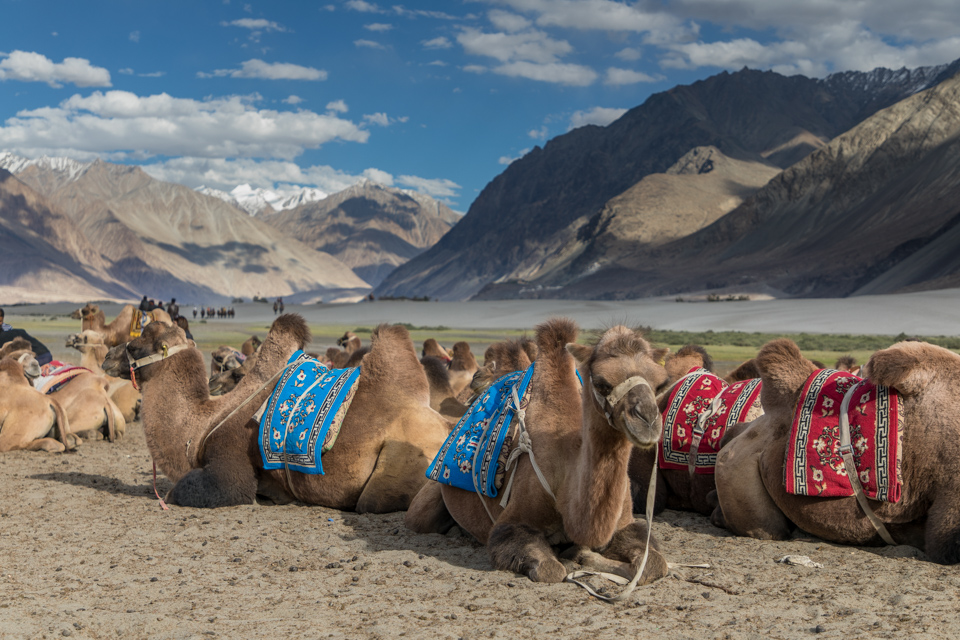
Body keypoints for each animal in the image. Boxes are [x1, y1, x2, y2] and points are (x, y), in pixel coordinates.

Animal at [103, 316, 451, 512]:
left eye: (133, 346)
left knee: (372, 502)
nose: (106, 357)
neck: (201, 424)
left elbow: (185, 490)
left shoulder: (230, 457)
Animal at [405, 320, 670, 585]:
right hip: (425, 504)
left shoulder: (626, 523)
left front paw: (585, 555)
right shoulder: (512, 522)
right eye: (601, 382)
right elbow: (551, 570)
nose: (648, 421)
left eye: (661, 384)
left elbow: (654, 564)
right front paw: (574, 556)